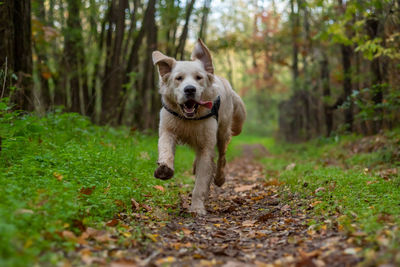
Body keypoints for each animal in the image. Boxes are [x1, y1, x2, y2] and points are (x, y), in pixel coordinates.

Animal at [152, 39, 245, 216]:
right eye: (179, 78)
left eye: (198, 78)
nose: (190, 89)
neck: (189, 119)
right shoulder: (167, 130)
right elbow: (166, 149)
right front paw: (165, 168)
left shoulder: (206, 146)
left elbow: (201, 181)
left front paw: (197, 208)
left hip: (222, 132)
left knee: (222, 157)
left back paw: (219, 177)